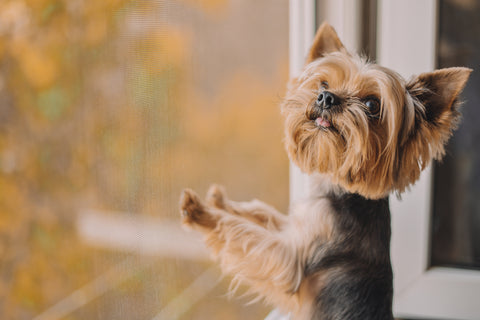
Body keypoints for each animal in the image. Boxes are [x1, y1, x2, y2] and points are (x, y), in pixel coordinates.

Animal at [178, 23, 470, 320]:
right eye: (323, 84)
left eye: (372, 105)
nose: (326, 97)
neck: (336, 186)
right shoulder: (297, 226)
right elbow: (261, 214)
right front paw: (220, 201)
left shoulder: (290, 259)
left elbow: (244, 233)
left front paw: (201, 211)